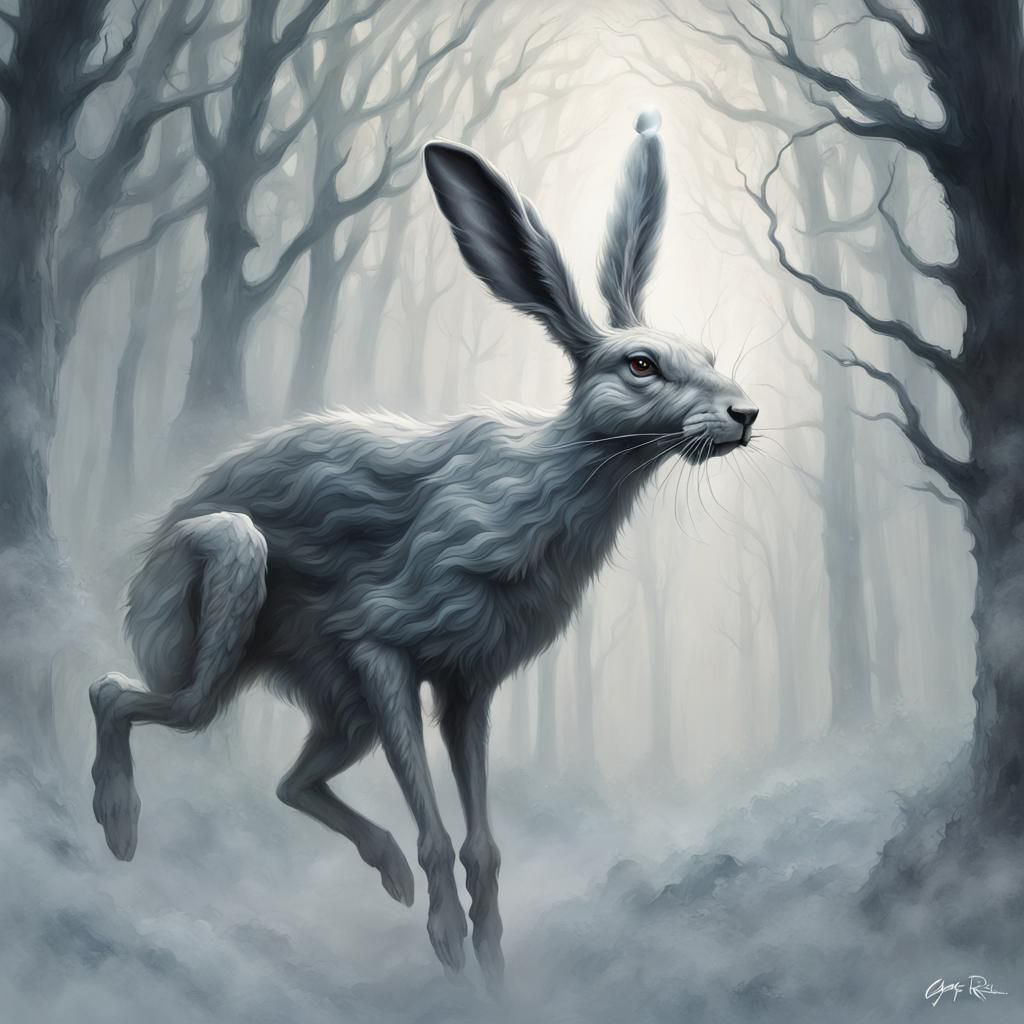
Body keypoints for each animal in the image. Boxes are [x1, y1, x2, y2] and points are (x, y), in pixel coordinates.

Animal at [88, 109, 758, 991]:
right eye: (641, 364)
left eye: (708, 357)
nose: (746, 413)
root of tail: (151, 552)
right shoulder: (382, 646)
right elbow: (438, 827)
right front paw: (448, 946)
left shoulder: (471, 685)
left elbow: (483, 844)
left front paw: (495, 966)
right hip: (226, 589)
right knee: (121, 693)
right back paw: (119, 824)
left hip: (340, 711)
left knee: (289, 781)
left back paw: (387, 873)